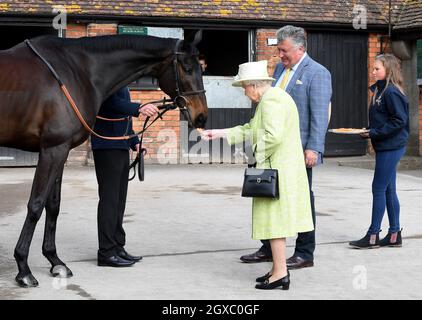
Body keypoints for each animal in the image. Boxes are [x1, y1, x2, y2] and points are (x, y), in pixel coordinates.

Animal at [0, 30, 208, 286]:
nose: (201, 116)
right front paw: (24, 268)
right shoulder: (52, 149)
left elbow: (53, 205)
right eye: (187, 68)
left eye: (201, 68)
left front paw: (55, 261)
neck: (77, 71)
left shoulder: (60, 150)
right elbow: (36, 205)